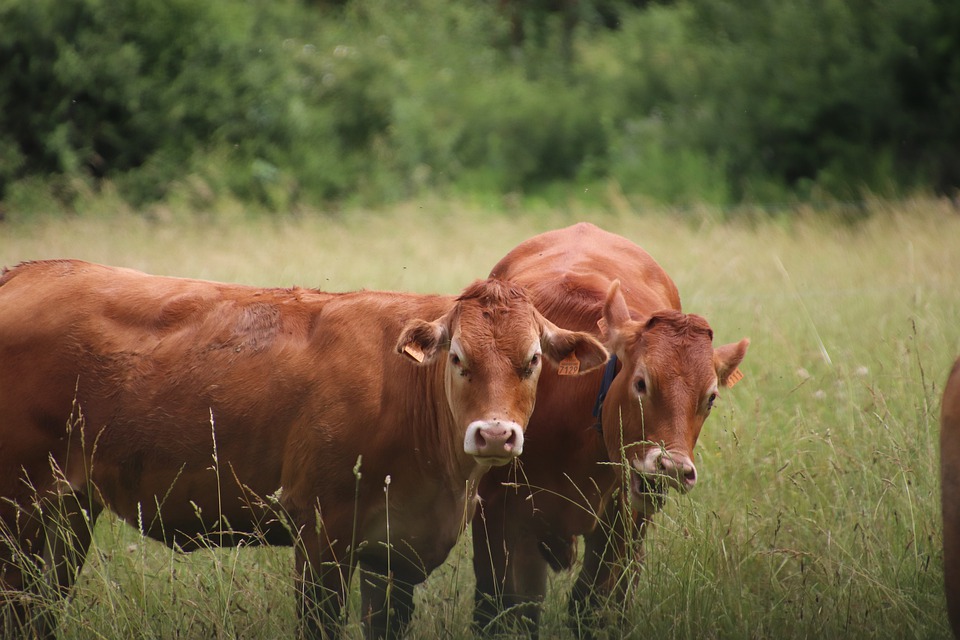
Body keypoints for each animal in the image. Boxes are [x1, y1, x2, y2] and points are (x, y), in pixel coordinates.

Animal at [0, 260, 608, 640]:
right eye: (458, 357)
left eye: (532, 359)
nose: (496, 434)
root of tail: (28, 273)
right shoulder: (320, 531)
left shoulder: (392, 552)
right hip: (19, 506)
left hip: (70, 508)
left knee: (40, 606)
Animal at [472, 224, 752, 636]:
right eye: (641, 383)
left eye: (711, 397)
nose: (670, 469)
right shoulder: (499, 517)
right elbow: (510, 611)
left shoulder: (622, 524)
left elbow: (593, 608)